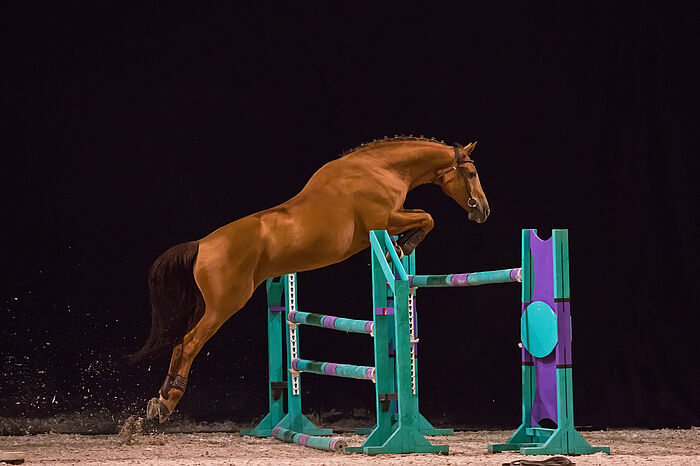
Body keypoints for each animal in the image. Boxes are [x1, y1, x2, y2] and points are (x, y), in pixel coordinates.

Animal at [130, 136, 486, 422]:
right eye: (471, 174)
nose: (483, 211)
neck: (380, 169)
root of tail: (202, 244)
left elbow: (425, 217)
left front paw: (400, 246)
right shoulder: (384, 219)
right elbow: (427, 217)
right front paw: (402, 246)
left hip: (209, 306)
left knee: (179, 342)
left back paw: (159, 401)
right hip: (224, 305)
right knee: (190, 342)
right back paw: (168, 402)